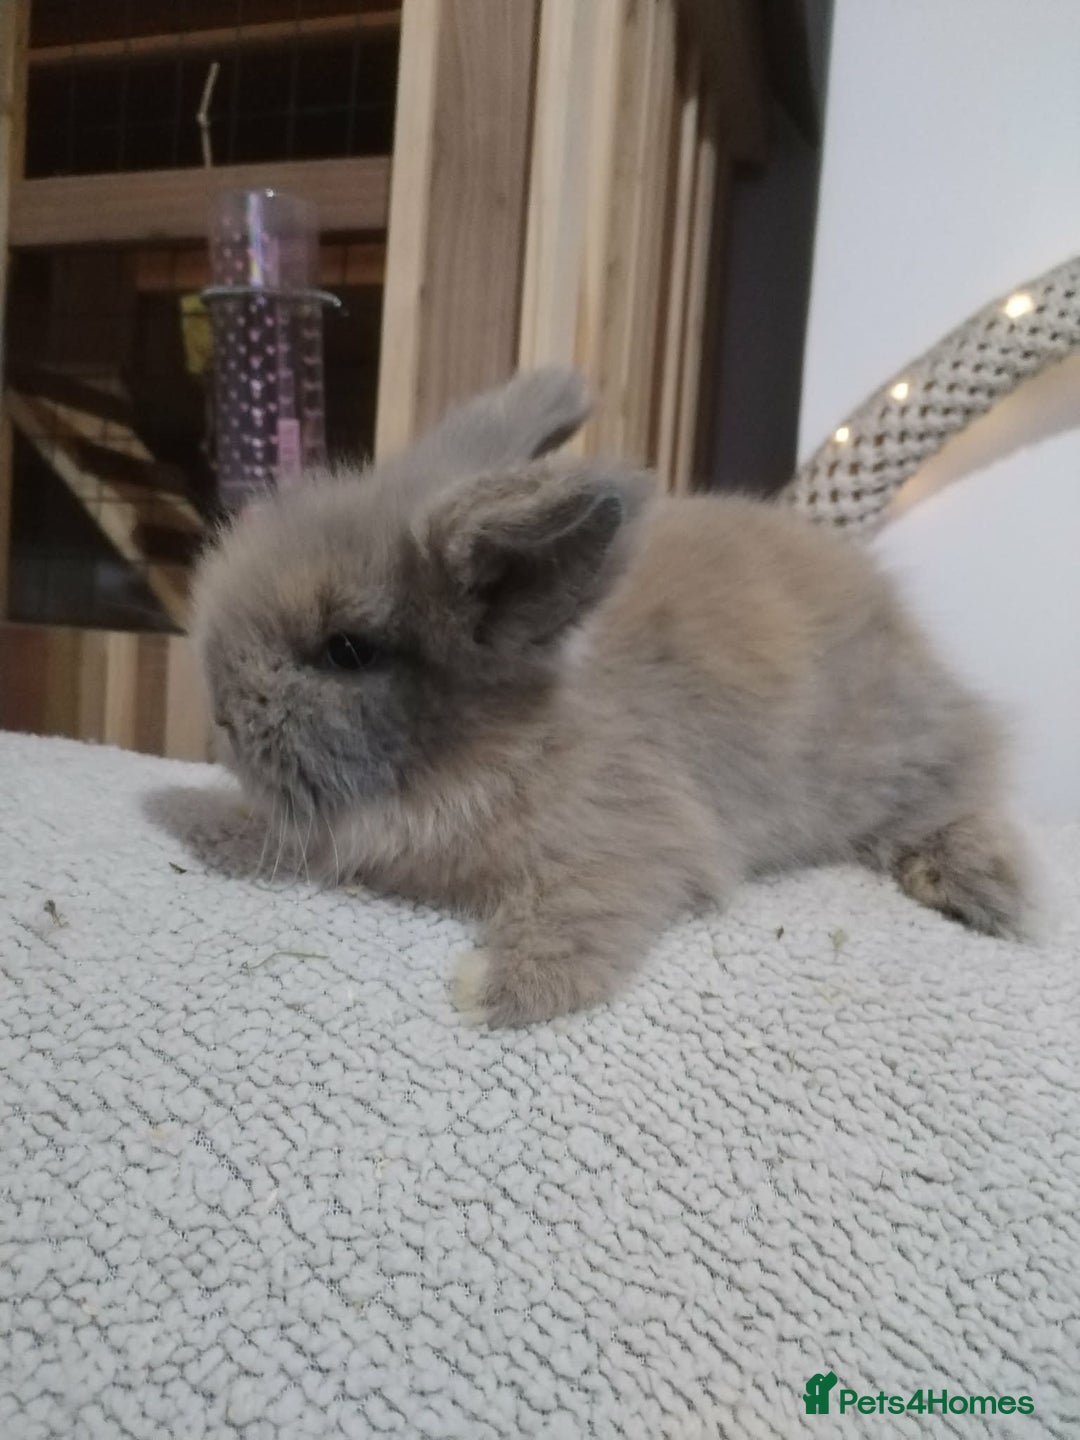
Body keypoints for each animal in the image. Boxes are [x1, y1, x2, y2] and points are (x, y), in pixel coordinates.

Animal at [192, 366, 1031, 1026]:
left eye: (346, 650)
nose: (221, 718)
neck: (511, 735)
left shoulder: (636, 840)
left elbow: (586, 910)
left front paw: (488, 990)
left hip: (901, 758)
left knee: (970, 788)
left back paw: (987, 893)